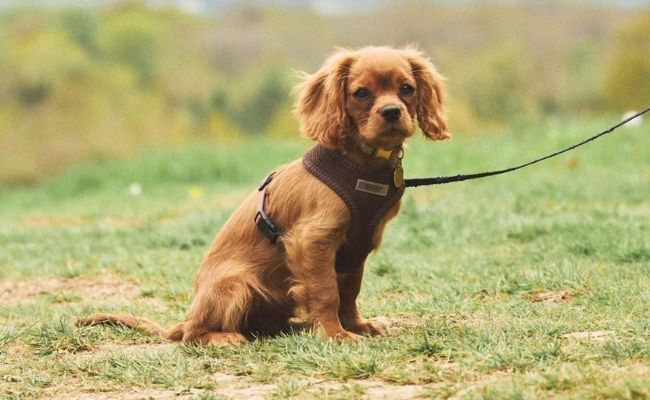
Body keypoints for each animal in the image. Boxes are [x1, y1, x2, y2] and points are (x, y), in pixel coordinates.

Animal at [74, 45, 446, 346]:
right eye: (361, 93)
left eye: (407, 89)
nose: (392, 112)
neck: (362, 164)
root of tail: (185, 317)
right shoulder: (313, 241)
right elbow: (326, 291)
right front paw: (335, 333)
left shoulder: (357, 248)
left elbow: (349, 291)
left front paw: (356, 325)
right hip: (235, 285)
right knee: (192, 334)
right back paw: (224, 337)